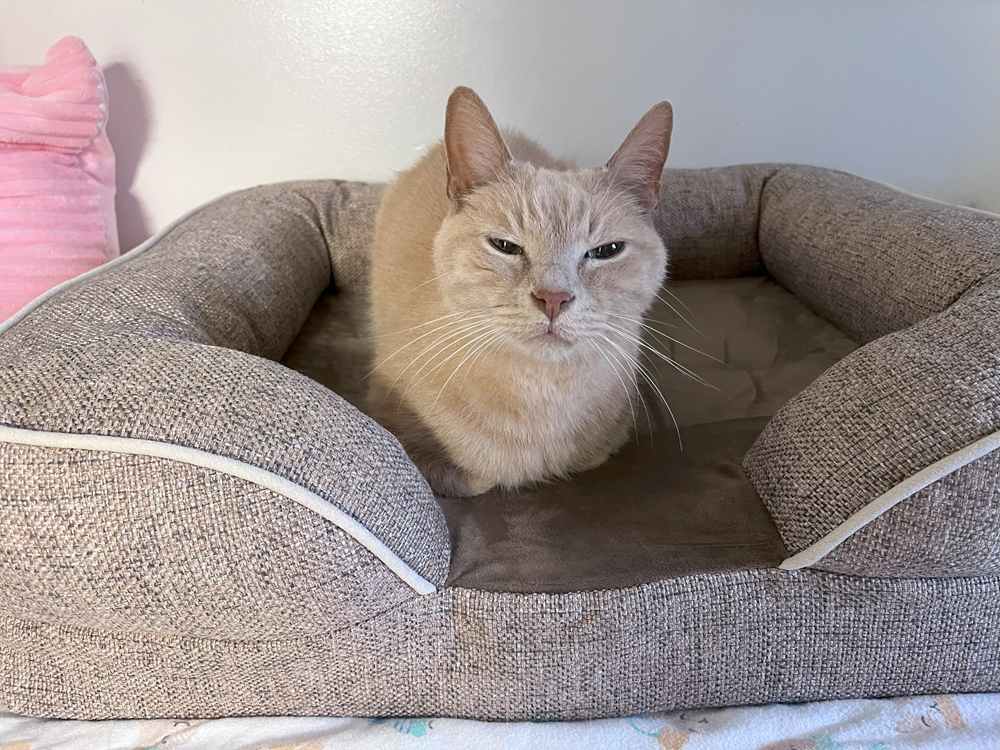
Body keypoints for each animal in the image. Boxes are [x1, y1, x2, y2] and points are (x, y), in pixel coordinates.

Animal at [368, 86, 672, 497]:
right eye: (505, 246)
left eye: (606, 251)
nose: (553, 299)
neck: (541, 397)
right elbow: (475, 477)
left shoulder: (604, 447)